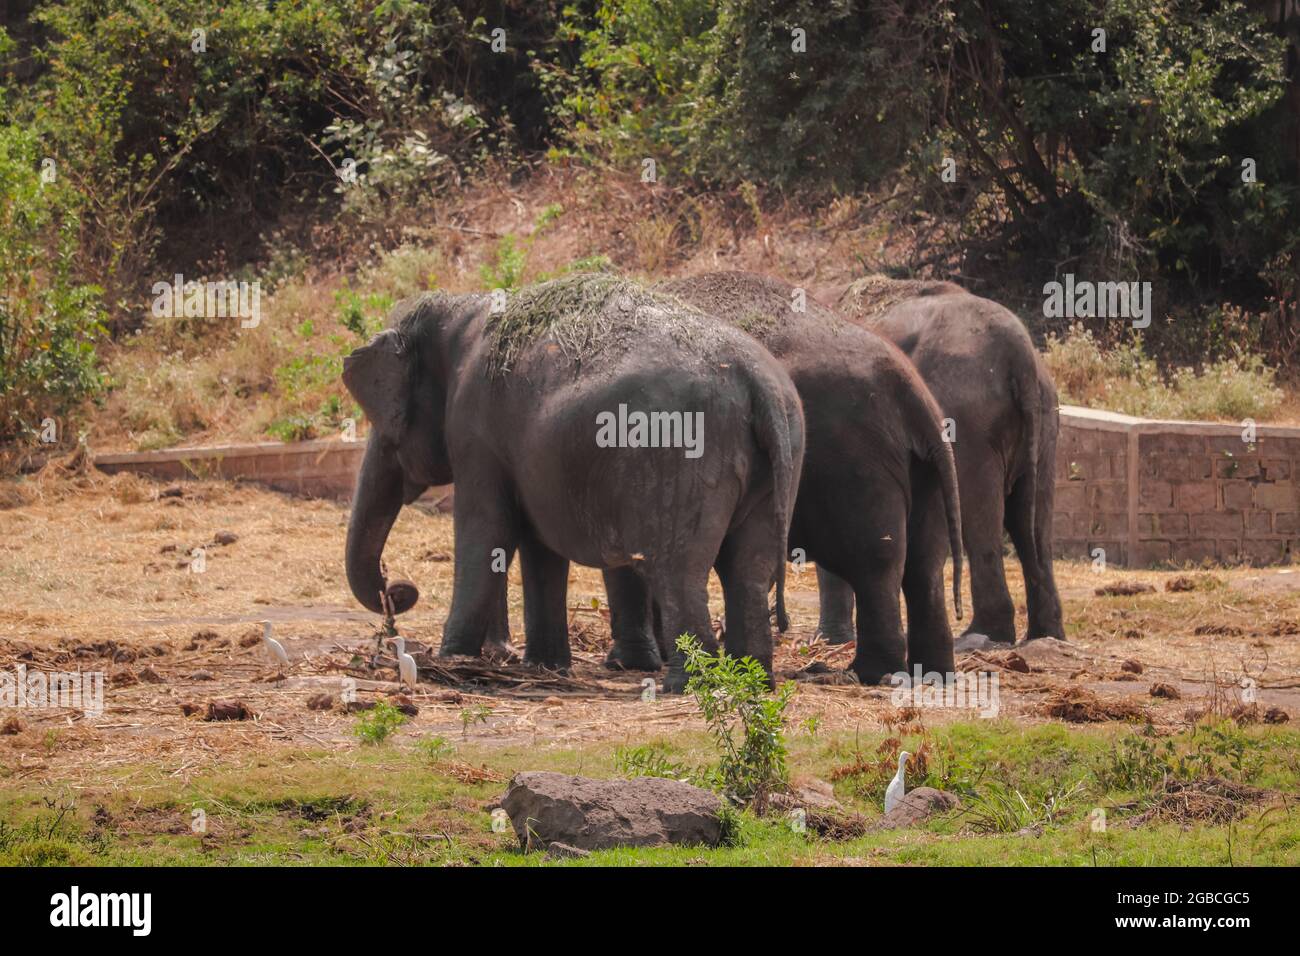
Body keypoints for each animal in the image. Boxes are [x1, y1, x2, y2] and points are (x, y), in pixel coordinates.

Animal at [338, 273, 800, 691]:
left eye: (385, 425)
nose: (398, 590)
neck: (460, 307)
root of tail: (757, 382)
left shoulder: (474, 430)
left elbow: (487, 530)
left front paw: (450, 662)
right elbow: (539, 547)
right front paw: (545, 668)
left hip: (684, 458)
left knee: (679, 570)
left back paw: (685, 685)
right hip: (782, 457)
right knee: (748, 570)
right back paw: (753, 681)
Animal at [603, 273, 961, 686]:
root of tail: (912, 392)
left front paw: (628, 663)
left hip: (855, 464)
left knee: (876, 562)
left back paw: (874, 672)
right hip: (920, 470)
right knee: (924, 566)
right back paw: (934, 673)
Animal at [832, 278, 1066, 650]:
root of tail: (1020, 352)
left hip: (965, 415)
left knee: (980, 512)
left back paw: (979, 638)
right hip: (1045, 419)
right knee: (1031, 520)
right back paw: (1046, 636)